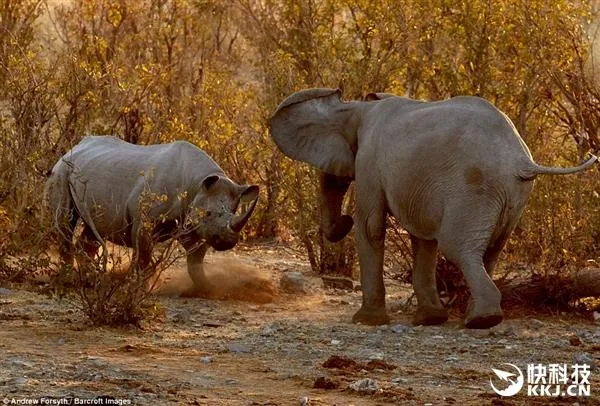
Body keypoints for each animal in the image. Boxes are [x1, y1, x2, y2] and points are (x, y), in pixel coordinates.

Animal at [47, 134, 260, 288]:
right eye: (208, 214)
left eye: (234, 211)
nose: (226, 242)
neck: (198, 182)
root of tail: (75, 147)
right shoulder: (145, 221)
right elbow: (144, 256)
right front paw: (139, 287)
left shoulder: (190, 221)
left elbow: (196, 258)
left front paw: (207, 288)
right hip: (61, 171)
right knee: (65, 221)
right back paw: (69, 279)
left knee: (94, 229)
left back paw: (90, 279)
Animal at [270, 87, 596, 328]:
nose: (344, 220)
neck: (357, 108)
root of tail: (522, 160)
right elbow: (423, 240)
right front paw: (429, 319)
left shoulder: (370, 161)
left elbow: (371, 227)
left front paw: (366, 321)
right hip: (512, 196)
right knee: (489, 251)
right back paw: (476, 317)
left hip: (475, 189)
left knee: (457, 247)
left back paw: (481, 320)